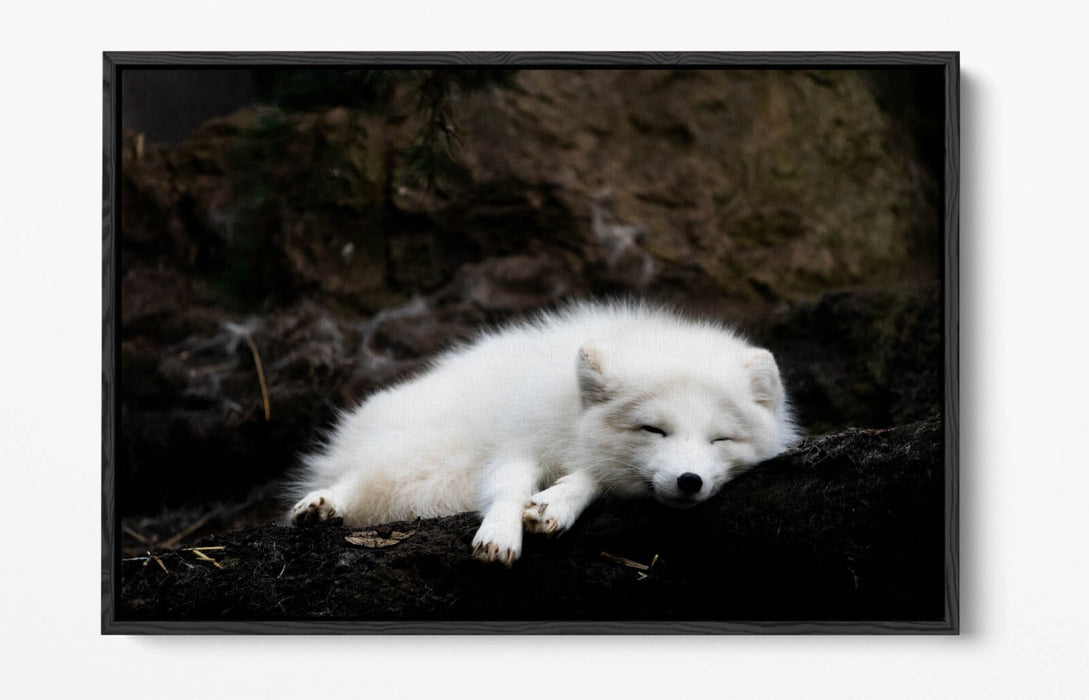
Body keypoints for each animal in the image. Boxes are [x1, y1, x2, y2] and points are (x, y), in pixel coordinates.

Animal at [288, 301, 798, 566]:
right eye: (653, 429)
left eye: (720, 440)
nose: (689, 481)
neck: (569, 413)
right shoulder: (519, 440)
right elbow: (509, 485)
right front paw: (500, 533)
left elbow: (593, 477)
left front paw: (556, 503)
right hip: (425, 453)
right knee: (361, 477)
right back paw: (322, 504)